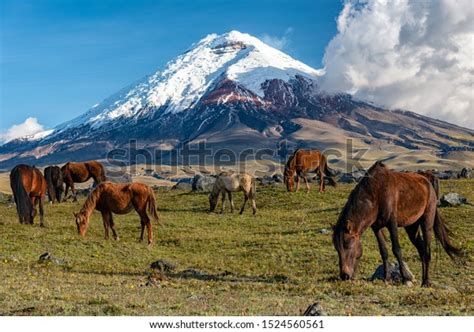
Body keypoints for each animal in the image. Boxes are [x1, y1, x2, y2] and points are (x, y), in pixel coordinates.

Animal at [332, 160, 462, 286]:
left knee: (427, 250)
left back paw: (426, 282)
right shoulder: (376, 227)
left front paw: (405, 278)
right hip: (411, 227)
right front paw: (386, 278)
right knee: (422, 250)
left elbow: (396, 249)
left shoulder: (392, 224)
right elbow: (383, 251)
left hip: (427, 222)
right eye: (337, 248)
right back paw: (423, 280)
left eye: (348, 245)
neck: (376, 193)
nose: (344, 276)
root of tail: (427, 180)